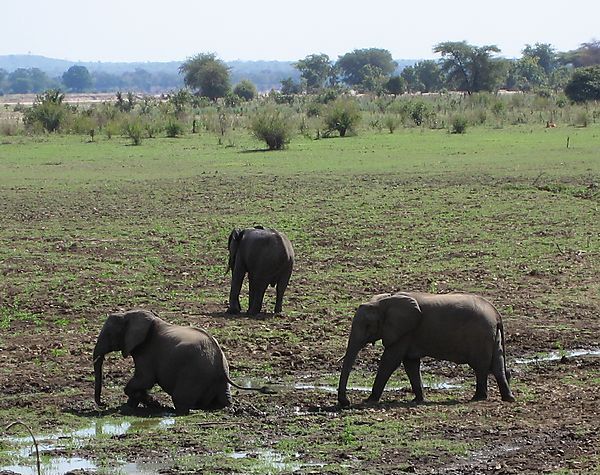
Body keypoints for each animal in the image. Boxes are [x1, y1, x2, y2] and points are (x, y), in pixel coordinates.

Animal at [93, 310, 268, 414]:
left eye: (108, 334)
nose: (103, 404)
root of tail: (219, 359)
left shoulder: (146, 351)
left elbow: (144, 379)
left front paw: (151, 403)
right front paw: (137, 405)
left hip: (193, 373)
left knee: (180, 400)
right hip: (217, 377)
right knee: (224, 398)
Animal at [338, 292, 516, 408]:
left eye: (368, 326)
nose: (346, 403)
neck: (384, 302)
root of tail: (496, 313)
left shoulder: (404, 332)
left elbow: (390, 361)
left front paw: (369, 400)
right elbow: (410, 363)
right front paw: (417, 400)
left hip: (481, 335)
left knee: (481, 367)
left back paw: (478, 398)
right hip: (492, 336)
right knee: (497, 365)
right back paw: (508, 398)